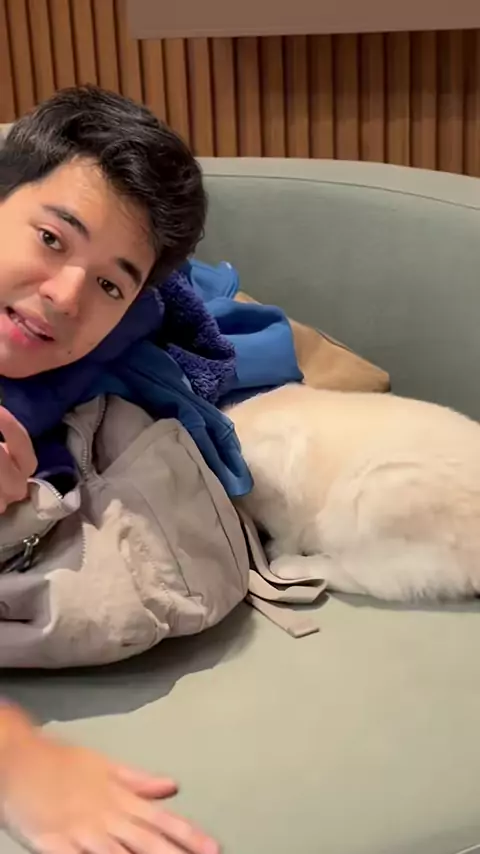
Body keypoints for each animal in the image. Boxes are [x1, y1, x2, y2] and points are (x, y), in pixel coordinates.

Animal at [225, 383, 480, 601]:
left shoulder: (278, 467)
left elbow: (284, 525)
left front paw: (278, 546)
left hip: (367, 497)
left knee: (375, 580)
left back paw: (289, 564)